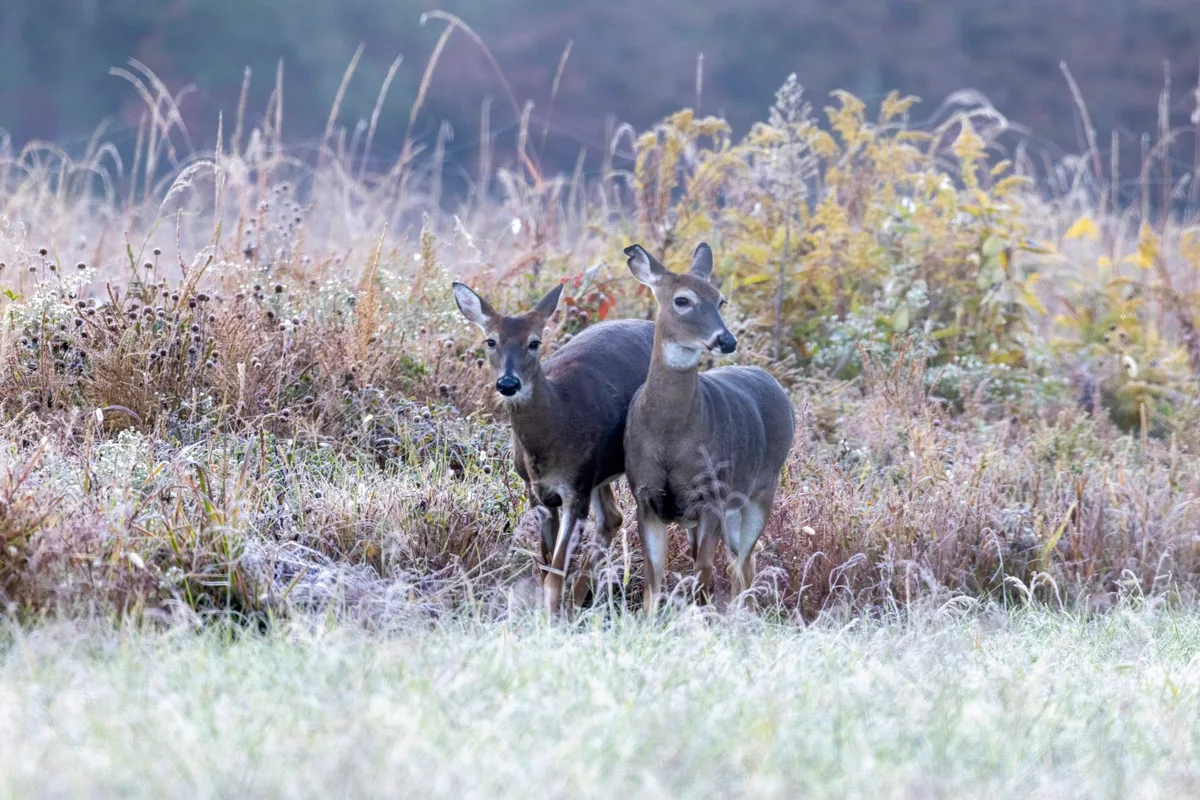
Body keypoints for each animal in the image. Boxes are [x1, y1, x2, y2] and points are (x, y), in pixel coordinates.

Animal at [451, 280, 655, 615]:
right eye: (490, 341)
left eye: (534, 342)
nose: (508, 384)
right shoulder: (537, 490)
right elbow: (546, 565)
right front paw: (552, 613)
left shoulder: (576, 488)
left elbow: (554, 575)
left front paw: (551, 617)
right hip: (600, 474)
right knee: (612, 517)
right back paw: (575, 605)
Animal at [622, 242, 795, 612]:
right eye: (682, 300)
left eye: (720, 300)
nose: (726, 340)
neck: (670, 437)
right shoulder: (645, 496)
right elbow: (654, 578)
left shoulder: (712, 493)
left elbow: (704, 570)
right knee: (743, 561)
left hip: (761, 489)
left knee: (741, 562)